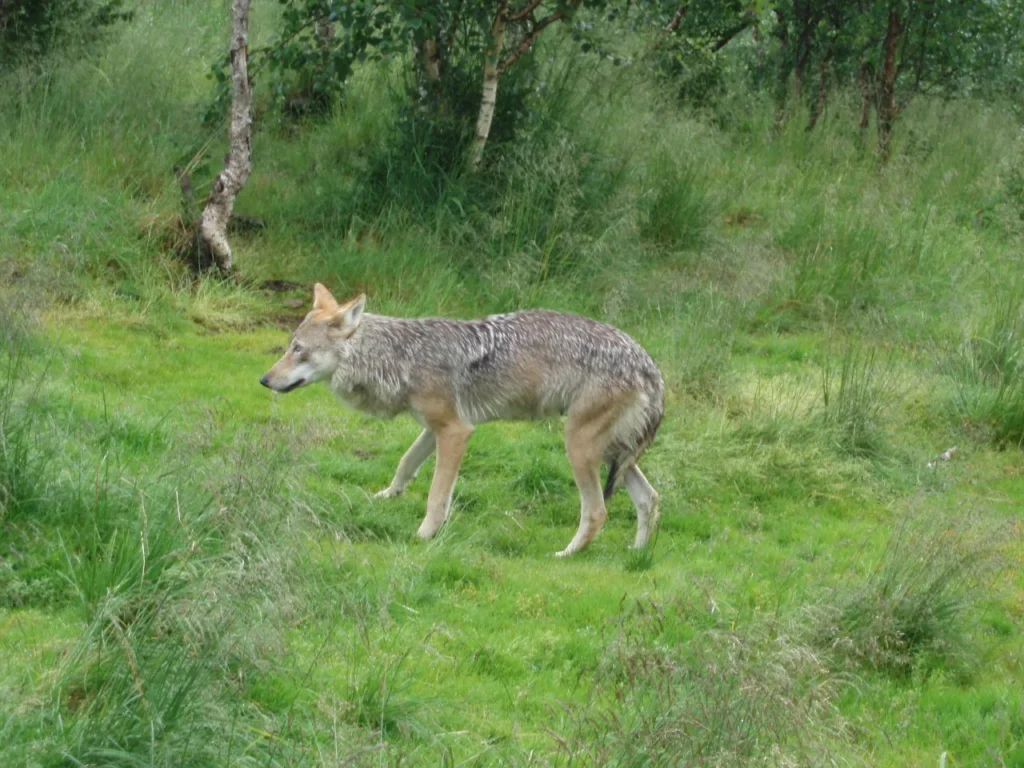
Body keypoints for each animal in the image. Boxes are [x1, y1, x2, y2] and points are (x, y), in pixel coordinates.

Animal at [260, 284, 664, 556]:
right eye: (289, 347)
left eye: (298, 351)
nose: (264, 380)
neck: (400, 356)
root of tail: (650, 367)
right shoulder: (433, 427)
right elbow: (405, 463)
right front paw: (387, 496)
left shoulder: (456, 431)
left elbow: (437, 496)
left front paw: (424, 536)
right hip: (611, 453)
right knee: (650, 498)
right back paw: (637, 554)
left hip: (578, 447)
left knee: (597, 512)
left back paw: (566, 554)